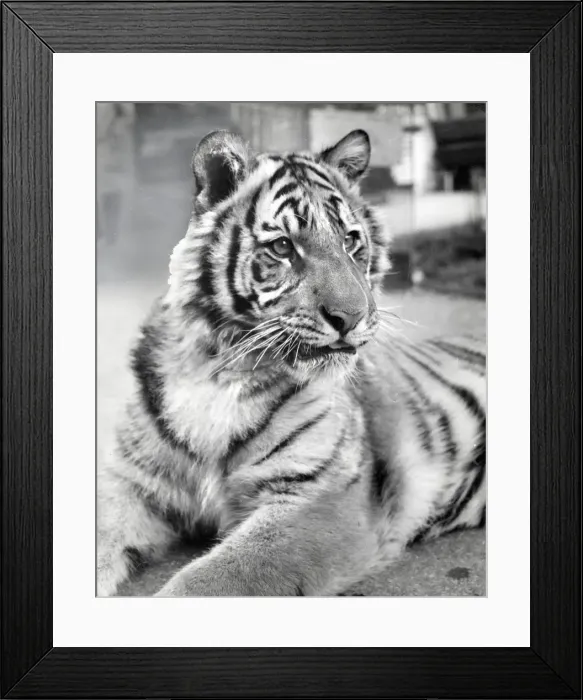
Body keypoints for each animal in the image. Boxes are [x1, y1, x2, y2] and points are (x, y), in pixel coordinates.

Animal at [97, 128, 486, 597]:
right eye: (283, 247)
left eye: (350, 241)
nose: (351, 317)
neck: (216, 369)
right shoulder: (129, 482)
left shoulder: (319, 500)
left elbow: (210, 579)